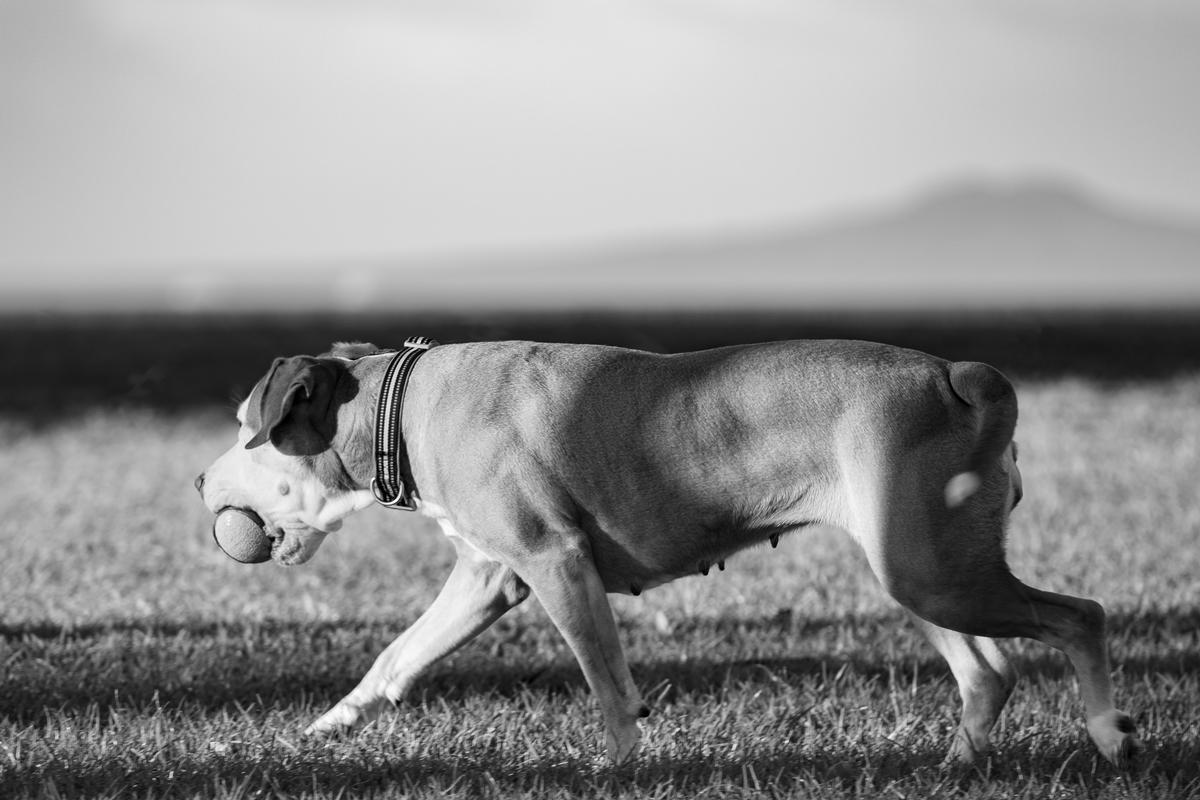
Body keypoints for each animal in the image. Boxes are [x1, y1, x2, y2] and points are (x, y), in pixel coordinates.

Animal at [192, 335, 1137, 762]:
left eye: (244, 429)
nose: (199, 482)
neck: (399, 406)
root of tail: (954, 375)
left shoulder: (555, 562)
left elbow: (608, 685)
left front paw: (616, 768)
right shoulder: (490, 576)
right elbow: (395, 657)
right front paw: (328, 725)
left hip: (934, 570)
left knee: (1079, 617)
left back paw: (1108, 731)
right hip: (918, 568)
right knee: (990, 670)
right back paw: (957, 761)